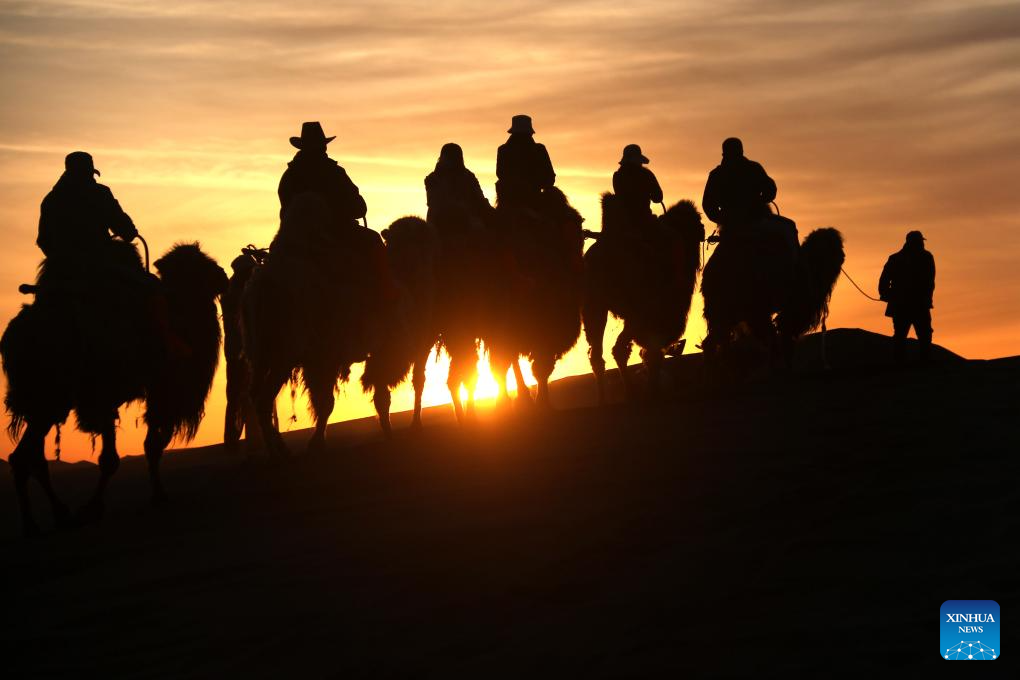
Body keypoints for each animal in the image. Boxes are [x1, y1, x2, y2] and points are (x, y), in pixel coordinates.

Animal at [1, 241, 227, 536]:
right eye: (202, 265)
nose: (223, 276)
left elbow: (148, 446)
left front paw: (154, 495)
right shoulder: (146, 393)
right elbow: (122, 455)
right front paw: (95, 508)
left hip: (44, 403)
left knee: (33, 459)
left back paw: (58, 516)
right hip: (51, 400)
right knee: (24, 458)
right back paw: (34, 523)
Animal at [583, 195, 706, 402]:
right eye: (696, 223)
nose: (704, 231)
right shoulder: (660, 317)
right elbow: (653, 354)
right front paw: (653, 391)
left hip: (594, 307)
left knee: (599, 355)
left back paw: (604, 400)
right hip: (638, 310)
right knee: (620, 349)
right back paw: (630, 393)